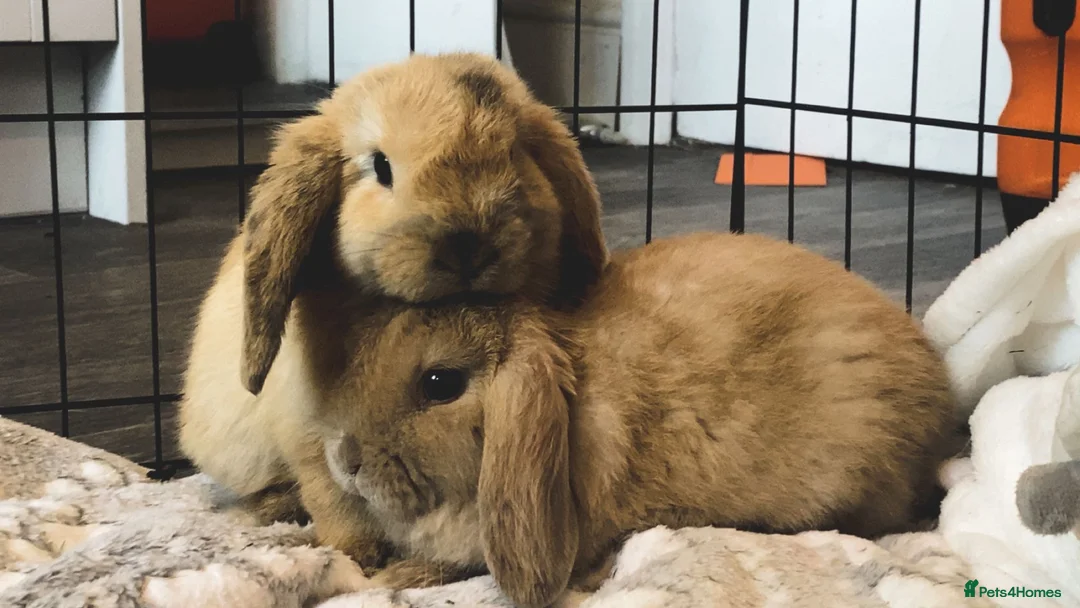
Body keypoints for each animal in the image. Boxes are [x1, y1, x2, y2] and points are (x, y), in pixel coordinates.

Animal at [177, 51, 609, 557]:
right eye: (380, 166)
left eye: (515, 154)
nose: (469, 244)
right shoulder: (311, 437)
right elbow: (335, 500)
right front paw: (358, 557)